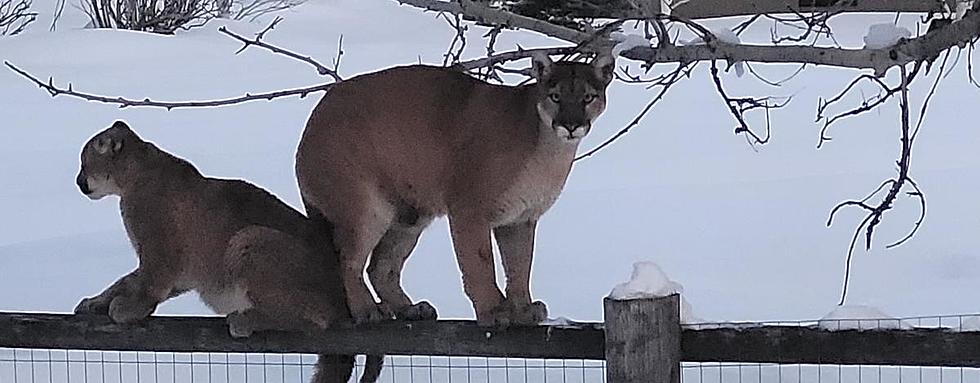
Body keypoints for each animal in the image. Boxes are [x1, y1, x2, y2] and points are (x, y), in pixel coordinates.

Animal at [72, 122, 382, 383]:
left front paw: (128, 309)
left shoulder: (160, 252)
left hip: (248, 240)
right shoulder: (180, 271)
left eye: (84, 164)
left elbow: (147, 285)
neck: (136, 174)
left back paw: (244, 319)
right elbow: (126, 280)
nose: (79, 182)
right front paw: (95, 302)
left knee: (319, 318)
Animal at [294, 51, 612, 328]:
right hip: (366, 207)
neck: (547, 148)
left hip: (410, 214)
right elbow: (479, 263)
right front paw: (493, 312)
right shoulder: (470, 210)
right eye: (555, 96)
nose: (571, 125)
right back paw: (367, 311)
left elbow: (520, 265)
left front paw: (522, 309)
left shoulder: (521, 219)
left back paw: (410, 309)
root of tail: (311, 123)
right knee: (348, 258)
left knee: (380, 267)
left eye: (587, 97)